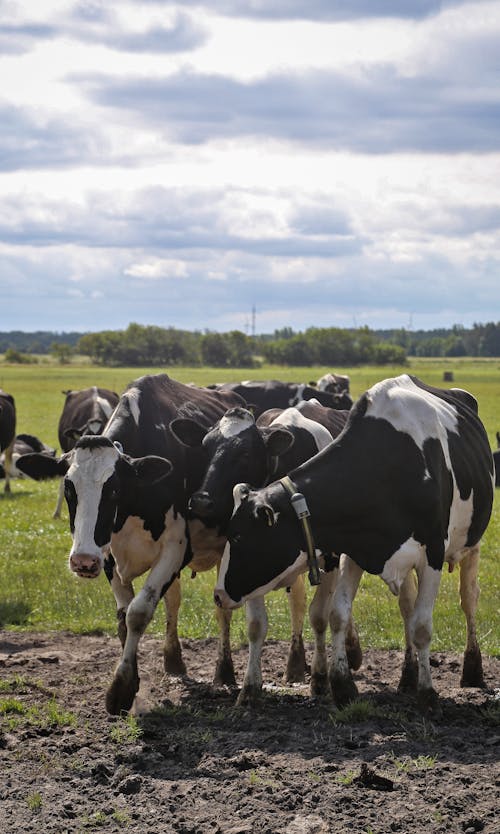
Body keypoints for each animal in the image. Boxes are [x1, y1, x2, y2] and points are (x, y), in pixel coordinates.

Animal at [170, 400, 362, 704]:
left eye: (245, 453)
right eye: (205, 447)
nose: (201, 500)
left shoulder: (330, 557)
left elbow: (320, 616)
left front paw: (320, 679)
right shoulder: (250, 562)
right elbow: (256, 625)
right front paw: (250, 688)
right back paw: (296, 664)